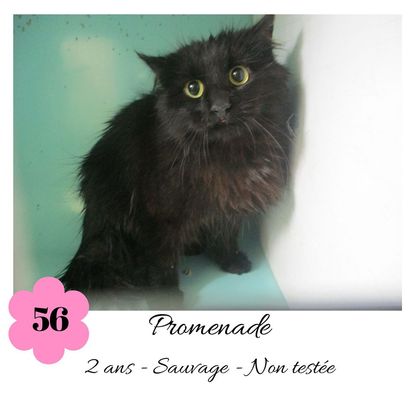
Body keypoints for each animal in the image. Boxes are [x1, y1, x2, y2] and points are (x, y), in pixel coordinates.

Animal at [60, 15, 292, 300]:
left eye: (238, 75)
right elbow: (163, 265)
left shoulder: (227, 208)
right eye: (193, 89)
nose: (220, 107)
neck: (226, 155)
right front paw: (167, 299)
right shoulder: (157, 220)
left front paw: (231, 262)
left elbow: (225, 238)